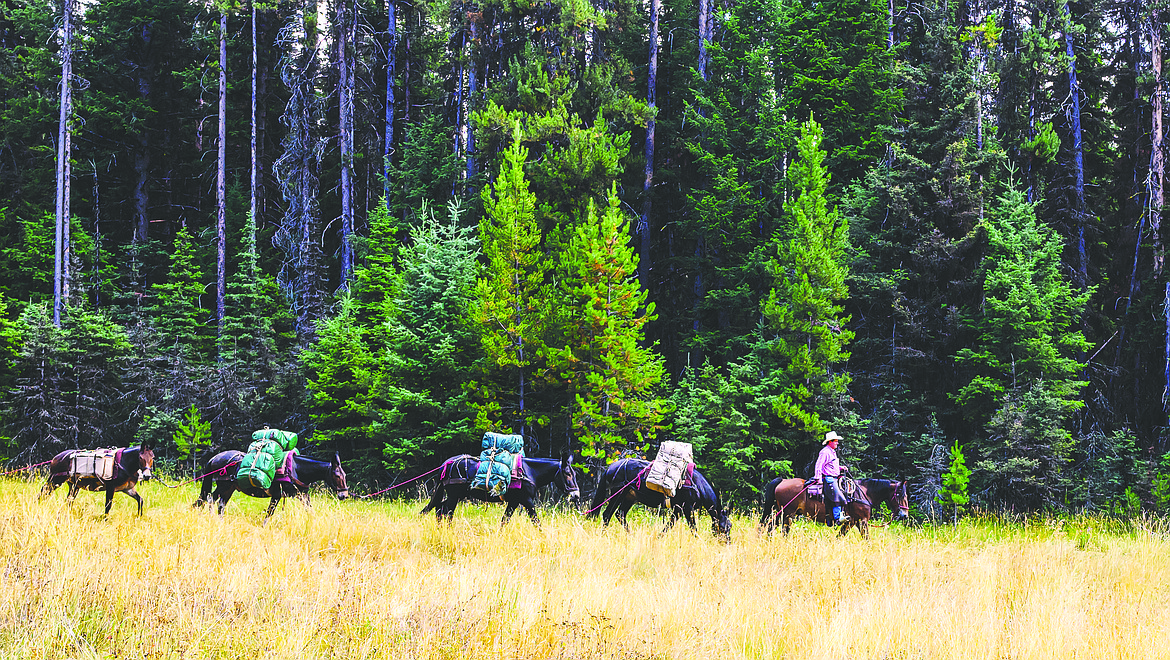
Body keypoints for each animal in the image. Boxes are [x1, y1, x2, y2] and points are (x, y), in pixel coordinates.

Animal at [758, 477, 912, 538]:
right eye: (899, 494)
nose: (904, 515)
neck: (863, 493)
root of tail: (782, 480)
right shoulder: (862, 521)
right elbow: (866, 538)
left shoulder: (852, 522)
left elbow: (839, 537)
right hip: (787, 514)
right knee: (782, 530)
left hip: (782, 513)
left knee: (769, 525)